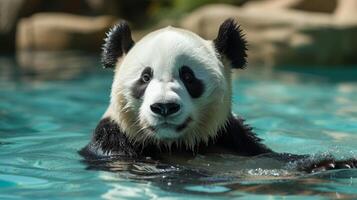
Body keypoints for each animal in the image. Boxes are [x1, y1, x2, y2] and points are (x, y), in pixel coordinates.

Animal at [79, 18, 354, 172]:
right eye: (145, 78)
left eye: (188, 77)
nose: (165, 107)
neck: (175, 143)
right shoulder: (114, 143)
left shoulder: (231, 137)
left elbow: (271, 157)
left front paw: (332, 162)